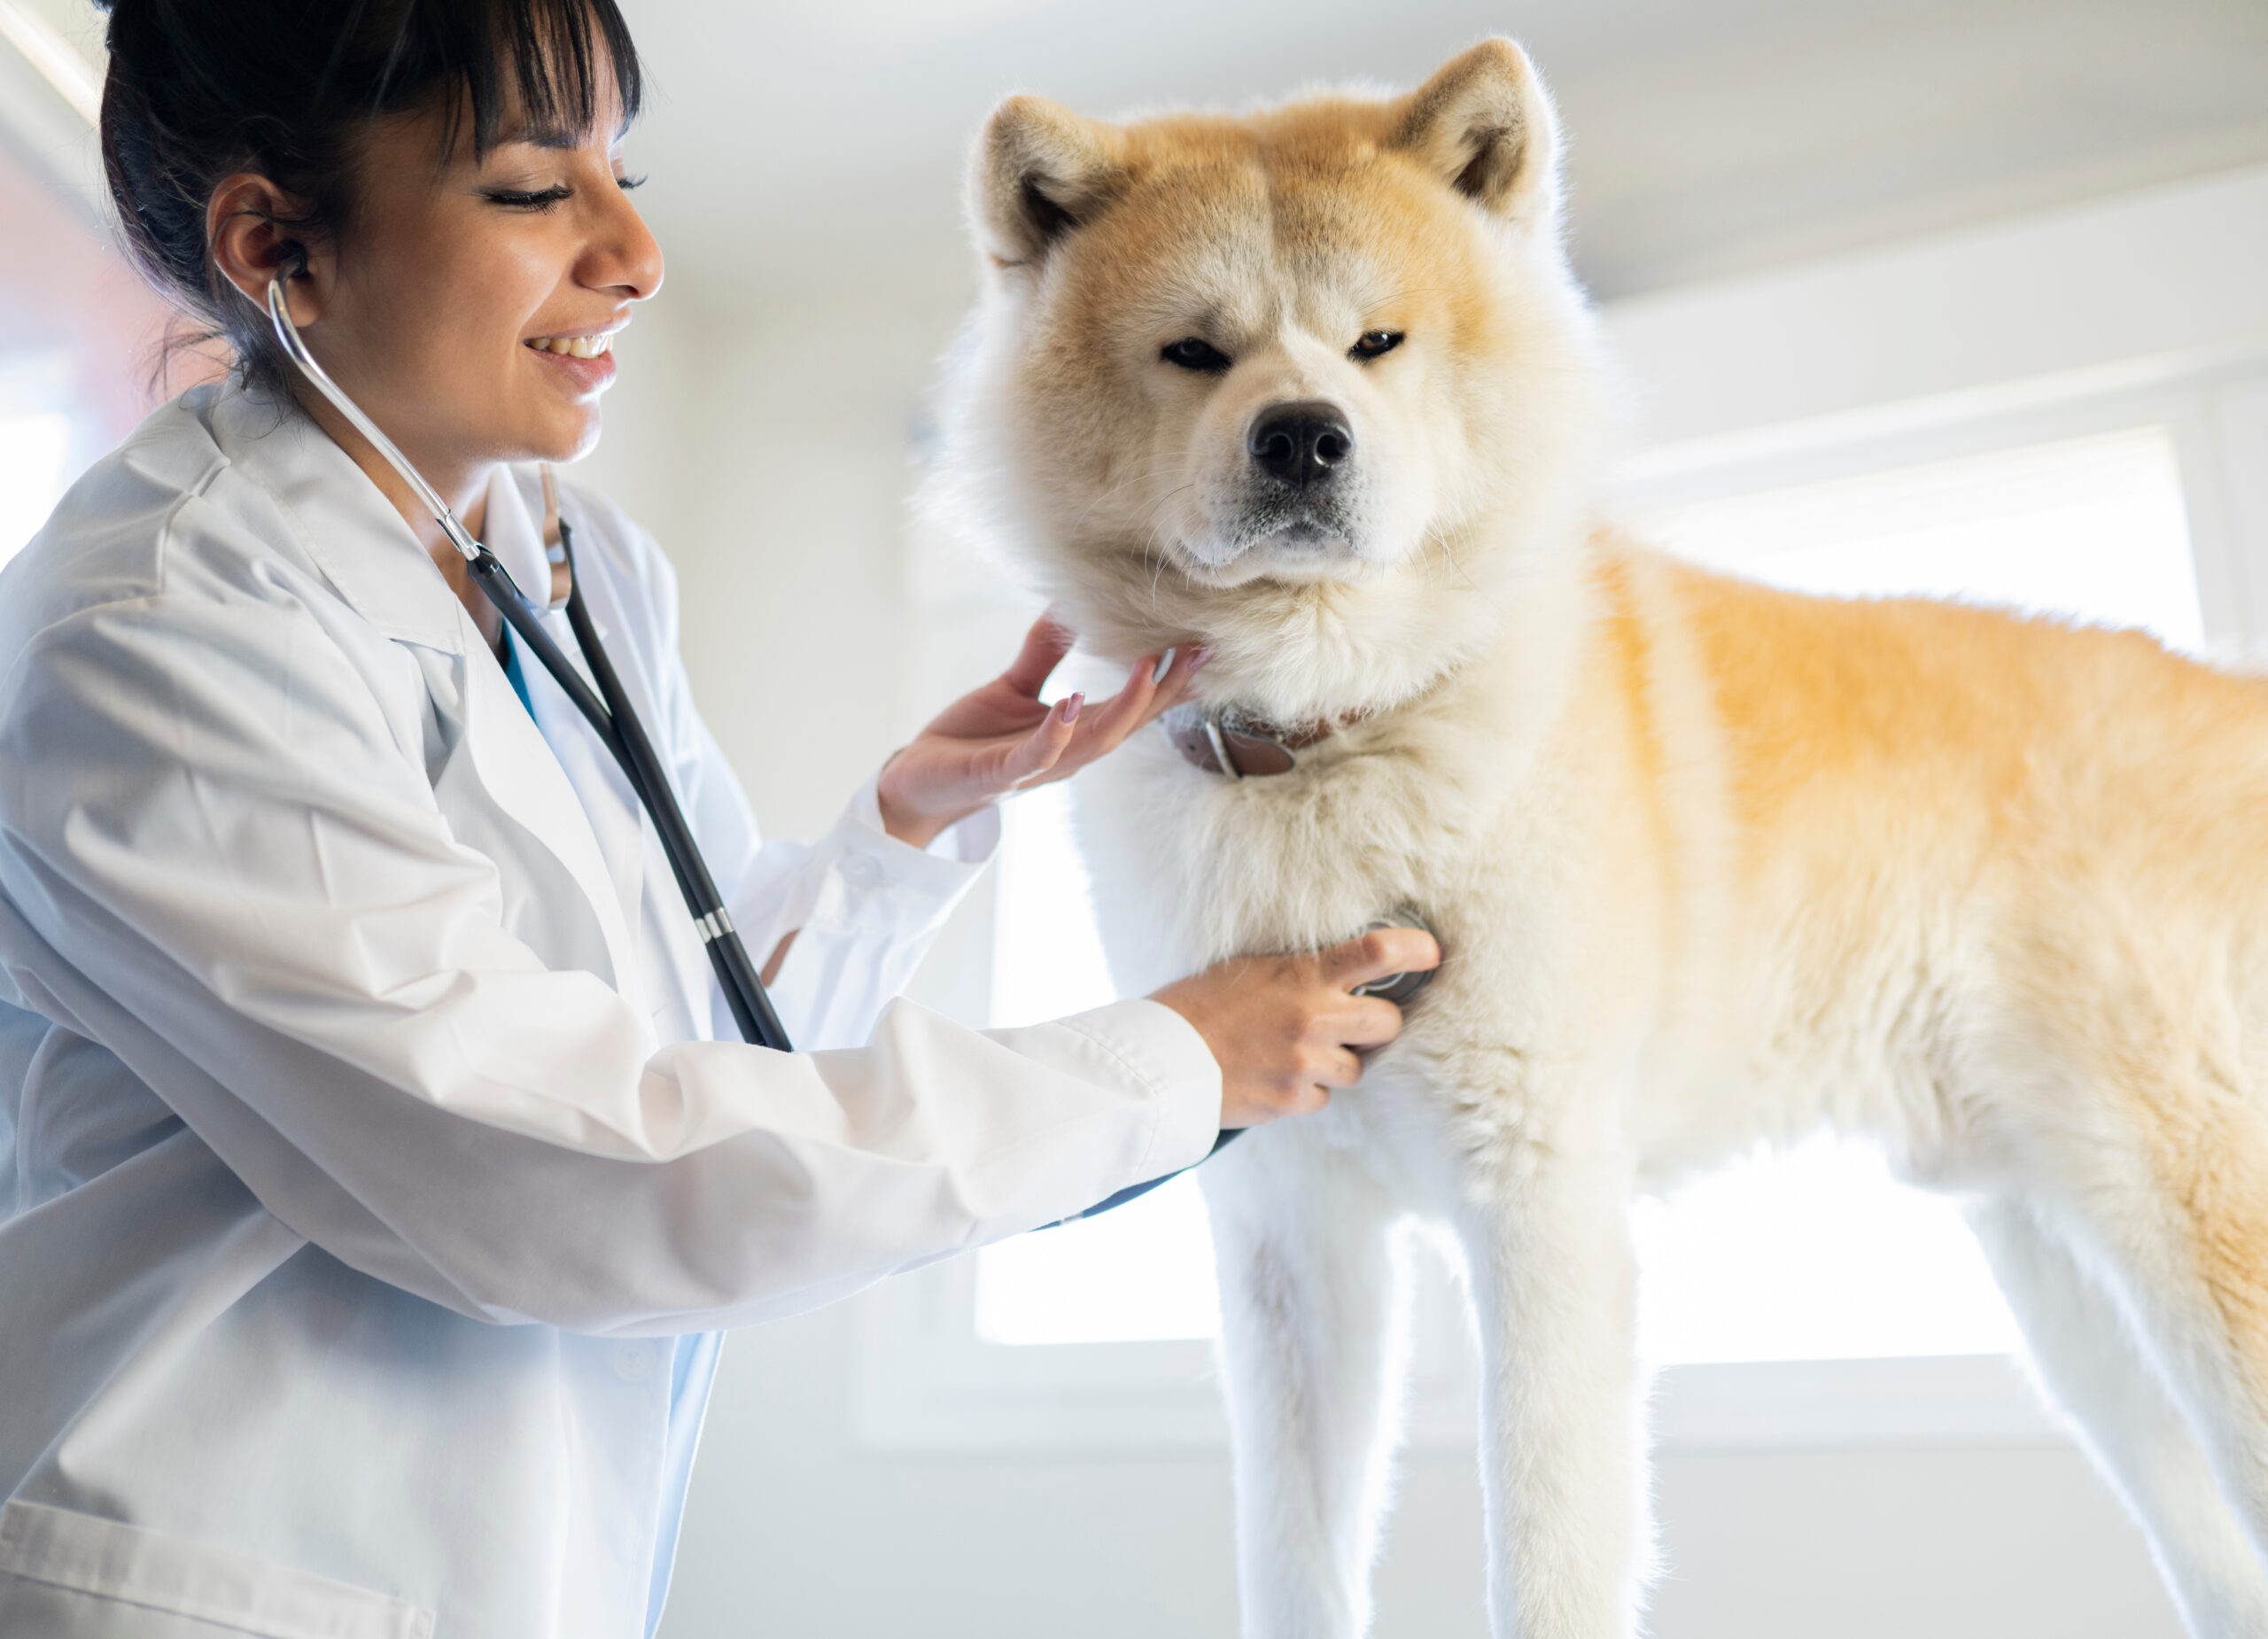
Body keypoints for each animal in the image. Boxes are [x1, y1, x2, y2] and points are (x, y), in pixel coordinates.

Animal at [920, 35, 2268, 1639]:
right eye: (1195, 350)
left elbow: (1550, 1558)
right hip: (2070, 1298)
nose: (1302, 435)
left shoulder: (1540, 1200)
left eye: (1377, 343)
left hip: (2185, 1228)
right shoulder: (1295, 1236)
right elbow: (1296, 1565)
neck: (1335, 737)